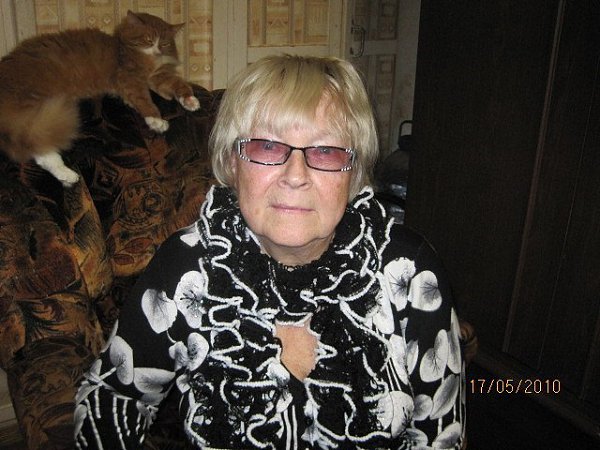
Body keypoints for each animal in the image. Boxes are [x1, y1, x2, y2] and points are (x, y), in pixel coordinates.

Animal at [0, 10, 200, 187]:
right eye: (149, 40)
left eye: (164, 44)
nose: (158, 51)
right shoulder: (130, 79)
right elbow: (145, 101)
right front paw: (157, 120)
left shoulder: (157, 76)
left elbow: (178, 84)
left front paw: (190, 101)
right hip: (39, 111)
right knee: (40, 146)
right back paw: (69, 175)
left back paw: (66, 178)